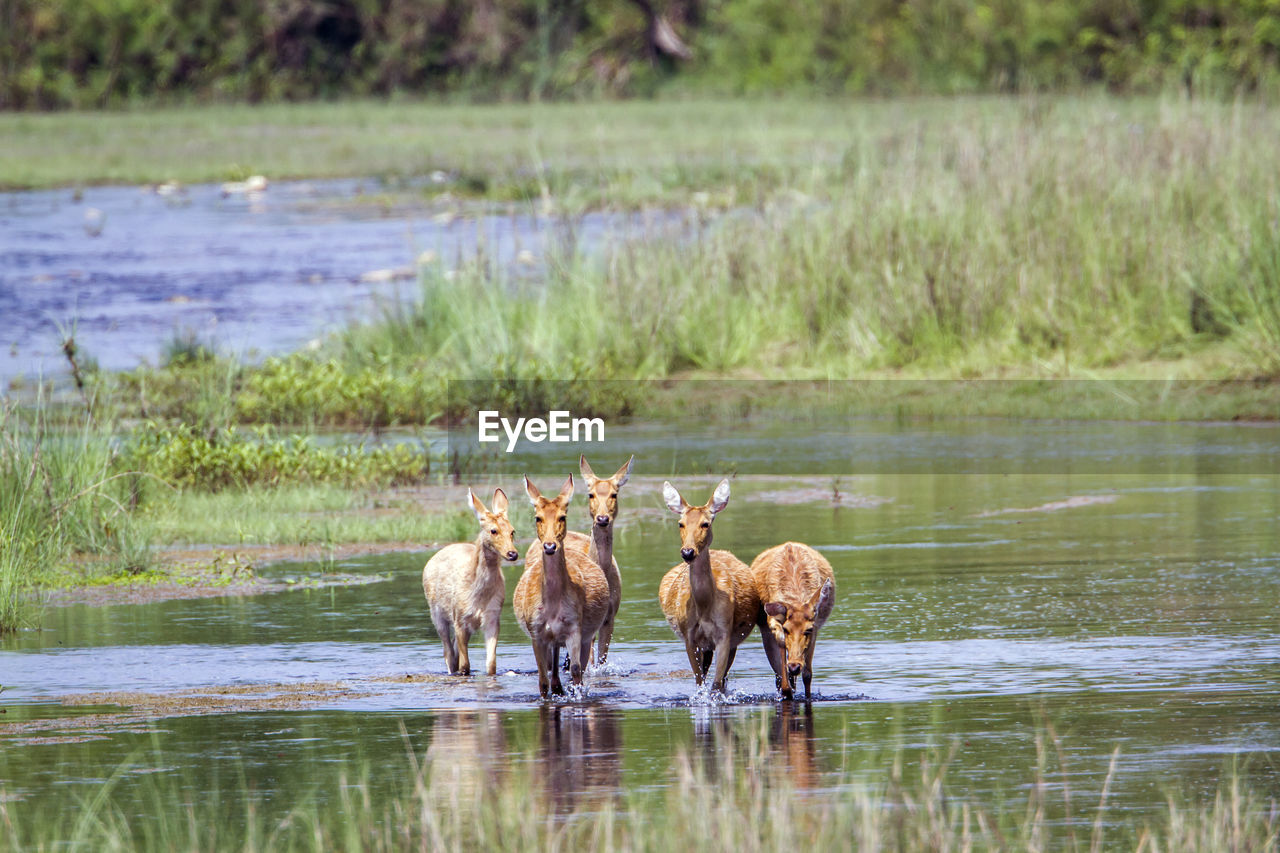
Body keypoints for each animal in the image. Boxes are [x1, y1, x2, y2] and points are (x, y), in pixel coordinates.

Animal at [419, 489, 519, 676]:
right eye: (493, 530)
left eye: (512, 531)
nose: (512, 554)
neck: (477, 594)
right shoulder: (460, 617)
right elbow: (465, 666)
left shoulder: (493, 617)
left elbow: (491, 665)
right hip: (436, 613)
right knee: (448, 653)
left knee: (453, 651)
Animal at [512, 471, 611, 696]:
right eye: (537, 517)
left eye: (562, 517)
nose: (550, 546)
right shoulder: (535, 631)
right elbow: (542, 679)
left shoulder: (575, 626)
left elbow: (575, 669)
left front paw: (576, 694)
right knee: (552, 669)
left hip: (583, 634)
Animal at [660, 479, 757, 691]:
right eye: (680, 523)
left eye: (705, 523)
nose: (688, 552)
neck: (704, 607)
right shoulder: (689, 636)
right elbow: (699, 682)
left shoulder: (725, 633)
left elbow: (715, 684)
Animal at [747, 537, 839, 696]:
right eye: (786, 629)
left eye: (808, 629)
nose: (794, 666)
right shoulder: (771, 620)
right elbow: (781, 647)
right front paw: (787, 686)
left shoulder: (815, 625)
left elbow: (807, 674)